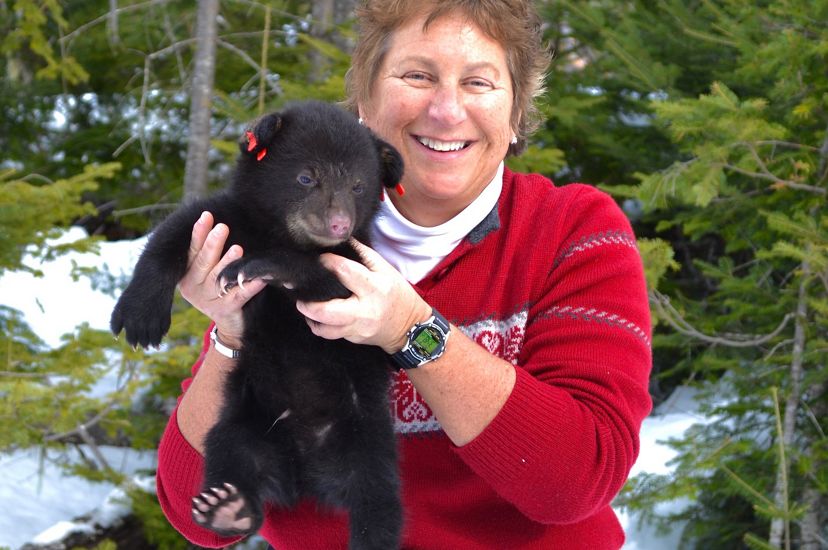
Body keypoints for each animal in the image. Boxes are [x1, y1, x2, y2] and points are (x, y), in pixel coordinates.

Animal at [110, 100, 404, 550]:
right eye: (306, 177)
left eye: (358, 185)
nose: (338, 224)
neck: (281, 233)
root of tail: (302, 473)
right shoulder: (225, 218)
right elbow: (172, 233)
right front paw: (140, 318)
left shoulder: (359, 266)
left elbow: (329, 281)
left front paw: (258, 265)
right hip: (244, 423)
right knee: (231, 455)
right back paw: (227, 508)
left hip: (368, 435)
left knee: (378, 494)